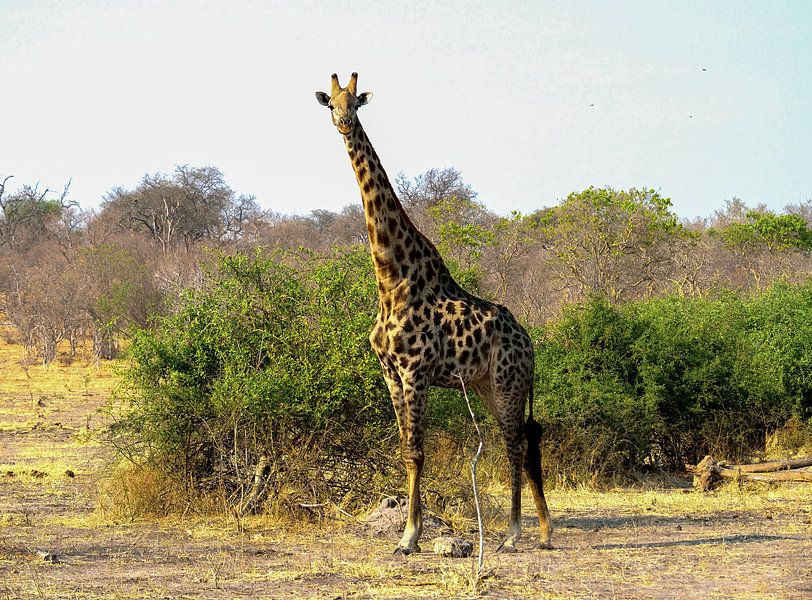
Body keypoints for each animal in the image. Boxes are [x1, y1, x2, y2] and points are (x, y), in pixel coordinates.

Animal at [316, 73, 553, 555]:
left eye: (356, 103)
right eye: (330, 103)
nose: (344, 123)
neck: (391, 278)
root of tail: (529, 341)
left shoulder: (415, 371)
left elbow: (417, 451)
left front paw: (409, 537)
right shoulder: (389, 372)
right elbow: (405, 449)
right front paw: (410, 532)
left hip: (508, 381)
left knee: (515, 443)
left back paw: (513, 534)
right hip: (486, 384)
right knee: (524, 440)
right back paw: (543, 532)